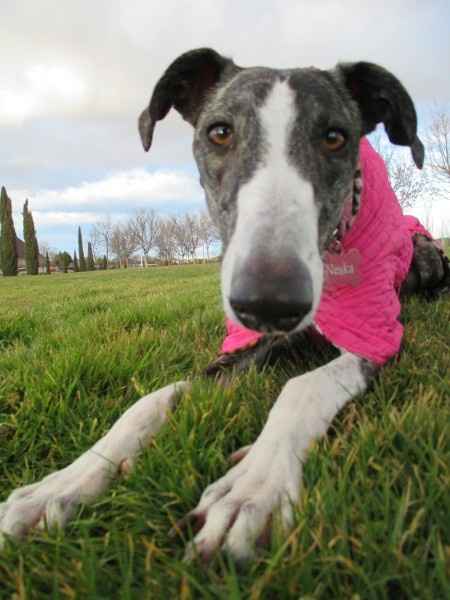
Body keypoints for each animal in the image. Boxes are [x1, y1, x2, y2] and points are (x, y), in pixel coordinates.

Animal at [1, 49, 448, 560]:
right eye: (219, 132)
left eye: (335, 137)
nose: (268, 300)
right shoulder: (246, 346)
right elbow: (152, 398)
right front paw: (62, 485)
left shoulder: (375, 336)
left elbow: (302, 386)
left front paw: (252, 489)